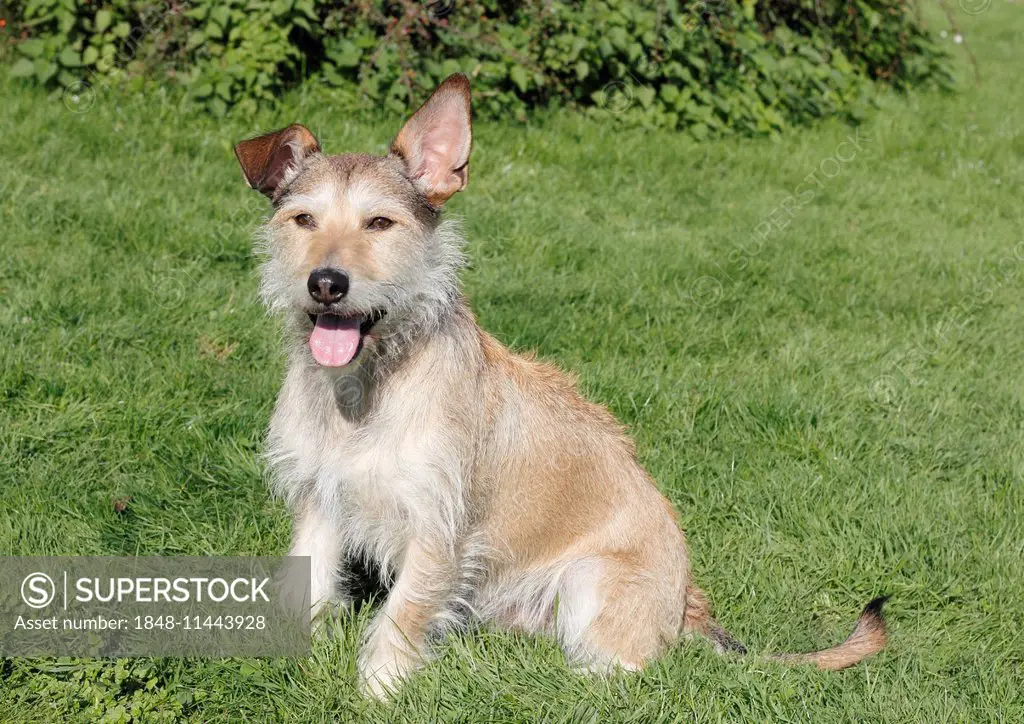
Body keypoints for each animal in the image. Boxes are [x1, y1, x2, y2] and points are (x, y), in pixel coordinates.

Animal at [234, 72, 888, 696]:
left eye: (380, 223)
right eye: (303, 219)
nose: (326, 283)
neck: (367, 386)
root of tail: (687, 608)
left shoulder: (437, 526)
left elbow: (403, 616)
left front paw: (379, 692)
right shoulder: (320, 499)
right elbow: (309, 586)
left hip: (588, 579)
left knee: (623, 673)